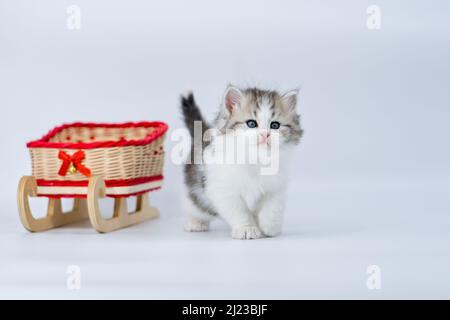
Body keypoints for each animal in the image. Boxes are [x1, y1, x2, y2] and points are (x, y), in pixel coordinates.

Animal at [179, 85, 302, 240]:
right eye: (251, 123)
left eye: (275, 125)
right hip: (195, 192)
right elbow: (239, 212)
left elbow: (272, 208)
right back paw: (196, 223)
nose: (265, 134)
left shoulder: (276, 188)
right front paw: (247, 228)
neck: (256, 159)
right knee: (196, 206)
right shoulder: (223, 190)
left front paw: (270, 228)